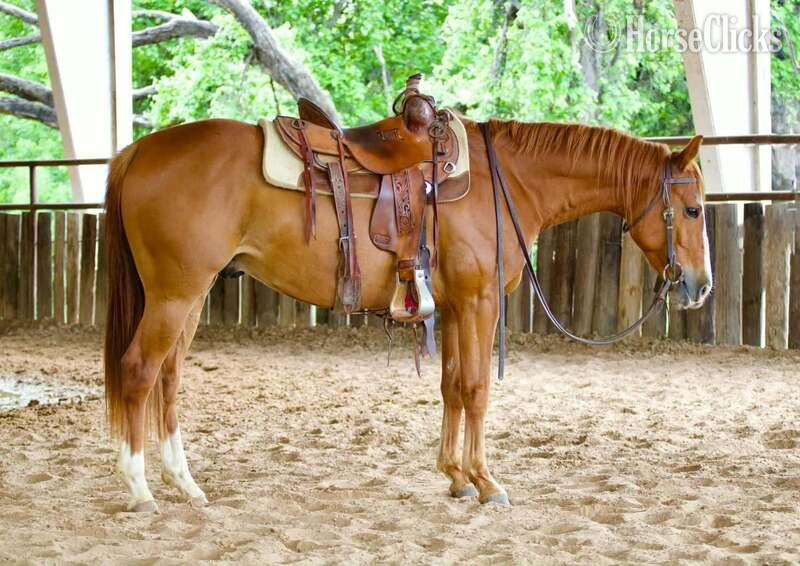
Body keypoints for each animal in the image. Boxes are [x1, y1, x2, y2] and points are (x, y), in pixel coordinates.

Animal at [103, 116, 712, 511]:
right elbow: (476, 388)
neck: (506, 182)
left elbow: (451, 387)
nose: (700, 286)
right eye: (692, 209)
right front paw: (487, 483)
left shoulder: (451, 307)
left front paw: (456, 478)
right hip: (175, 294)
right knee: (139, 371)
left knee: (168, 379)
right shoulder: (479, 301)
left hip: (192, 296)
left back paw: (185, 484)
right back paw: (139, 489)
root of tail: (138, 152)